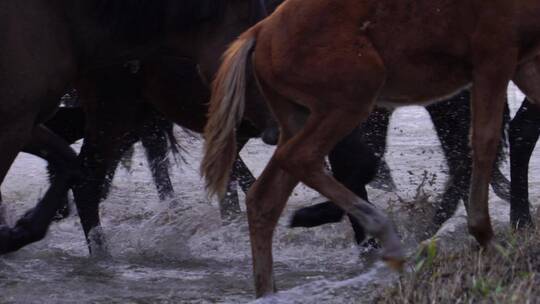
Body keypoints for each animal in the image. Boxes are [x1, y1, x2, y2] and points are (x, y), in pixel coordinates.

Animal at [202, 0, 540, 296]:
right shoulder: (493, 54)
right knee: (299, 158)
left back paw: (268, 291)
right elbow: (485, 140)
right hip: (354, 92)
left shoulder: (524, 62)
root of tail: (260, 32)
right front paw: (485, 235)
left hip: (297, 113)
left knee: (265, 196)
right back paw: (385, 234)